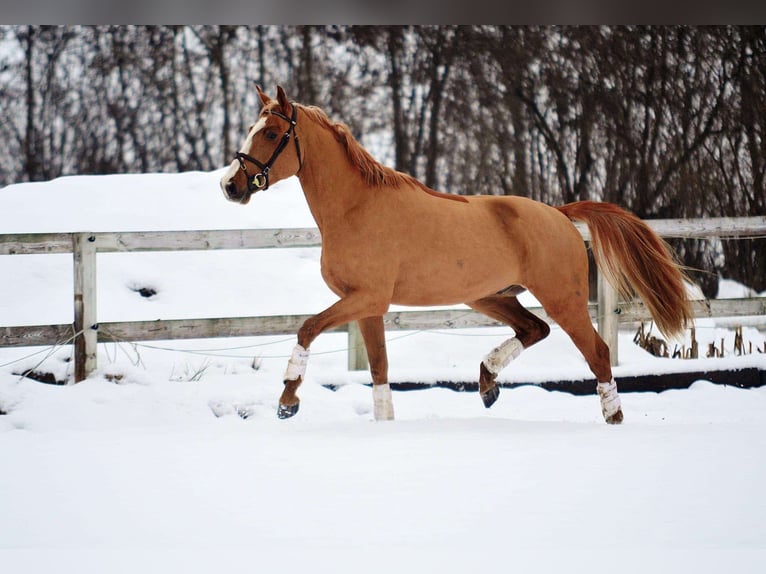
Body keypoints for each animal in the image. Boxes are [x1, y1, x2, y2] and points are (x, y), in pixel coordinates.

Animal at [219, 86, 692, 428]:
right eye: (251, 128)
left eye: (271, 133)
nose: (230, 186)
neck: (356, 208)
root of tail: (559, 214)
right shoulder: (369, 307)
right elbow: (379, 367)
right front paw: (383, 423)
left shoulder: (366, 298)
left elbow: (307, 328)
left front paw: (287, 402)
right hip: (488, 296)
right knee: (534, 329)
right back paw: (487, 383)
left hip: (563, 299)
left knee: (596, 351)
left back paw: (613, 417)